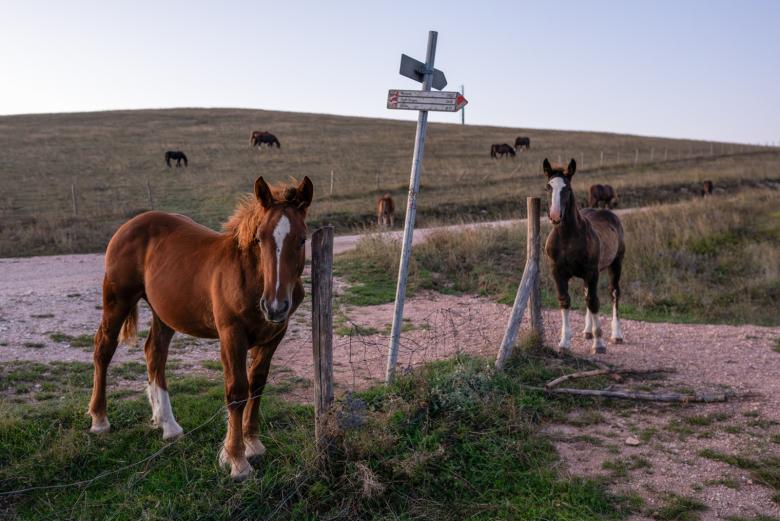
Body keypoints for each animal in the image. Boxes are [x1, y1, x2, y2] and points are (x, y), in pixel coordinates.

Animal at [87, 176, 312, 480]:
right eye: (260, 238)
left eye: (302, 239)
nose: (274, 306)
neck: (250, 277)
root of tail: (131, 224)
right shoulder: (231, 335)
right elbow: (237, 391)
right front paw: (236, 459)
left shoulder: (274, 335)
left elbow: (257, 385)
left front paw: (253, 444)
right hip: (117, 300)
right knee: (104, 348)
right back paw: (100, 419)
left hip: (165, 312)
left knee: (154, 353)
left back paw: (168, 425)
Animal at [544, 158, 628, 354]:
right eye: (548, 187)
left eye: (567, 188)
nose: (555, 215)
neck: (567, 237)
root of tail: (608, 213)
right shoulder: (557, 272)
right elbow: (565, 300)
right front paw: (564, 342)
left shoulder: (592, 272)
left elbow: (594, 301)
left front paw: (599, 344)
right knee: (586, 293)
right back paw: (587, 331)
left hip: (616, 264)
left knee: (614, 293)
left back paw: (616, 334)